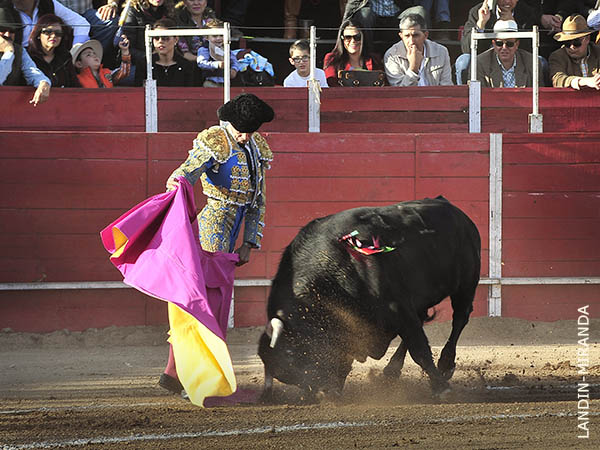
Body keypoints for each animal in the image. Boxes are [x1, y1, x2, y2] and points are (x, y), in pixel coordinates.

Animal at [258, 198, 482, 400]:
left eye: (295, 357)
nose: (321, 392)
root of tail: (456, 212)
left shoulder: (398, 308)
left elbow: (419, 349)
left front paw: (440, 388)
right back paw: (391, 370)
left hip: (466, 284)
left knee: (459, 319)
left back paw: (445, 363)